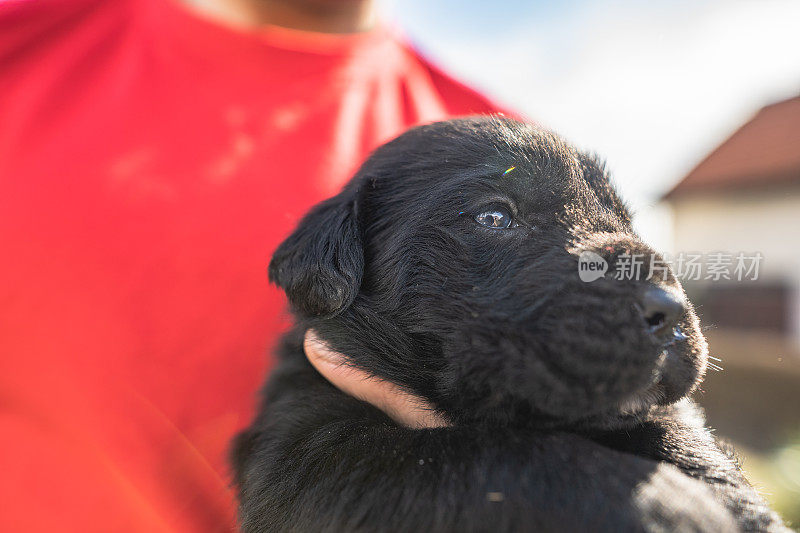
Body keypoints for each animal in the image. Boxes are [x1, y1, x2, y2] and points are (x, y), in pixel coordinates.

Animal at [231, 117, 788, 532]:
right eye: (494, 218)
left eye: (625, 222)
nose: (670, 309)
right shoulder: (304, 456)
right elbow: (487, 454)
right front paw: (672, 509)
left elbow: (681, 438)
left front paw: (728, 500)